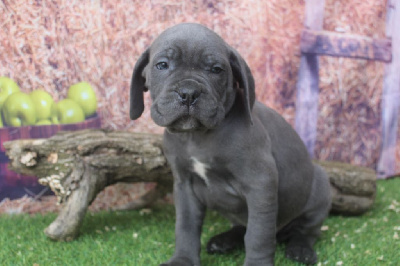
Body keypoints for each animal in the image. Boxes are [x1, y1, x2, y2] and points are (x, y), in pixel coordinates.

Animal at [130, 23, 332, 266]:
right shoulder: (184, 185)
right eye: (162, 65)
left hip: (320, 188)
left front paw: (257, 264)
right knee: (241, 226)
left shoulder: (260, 184)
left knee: (306, 230)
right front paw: (183, 260)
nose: (188, 93)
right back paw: (224, 241)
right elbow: (186, 227)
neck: (198, 137)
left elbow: (258, 234)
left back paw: (301, 249)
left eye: (216, 69)